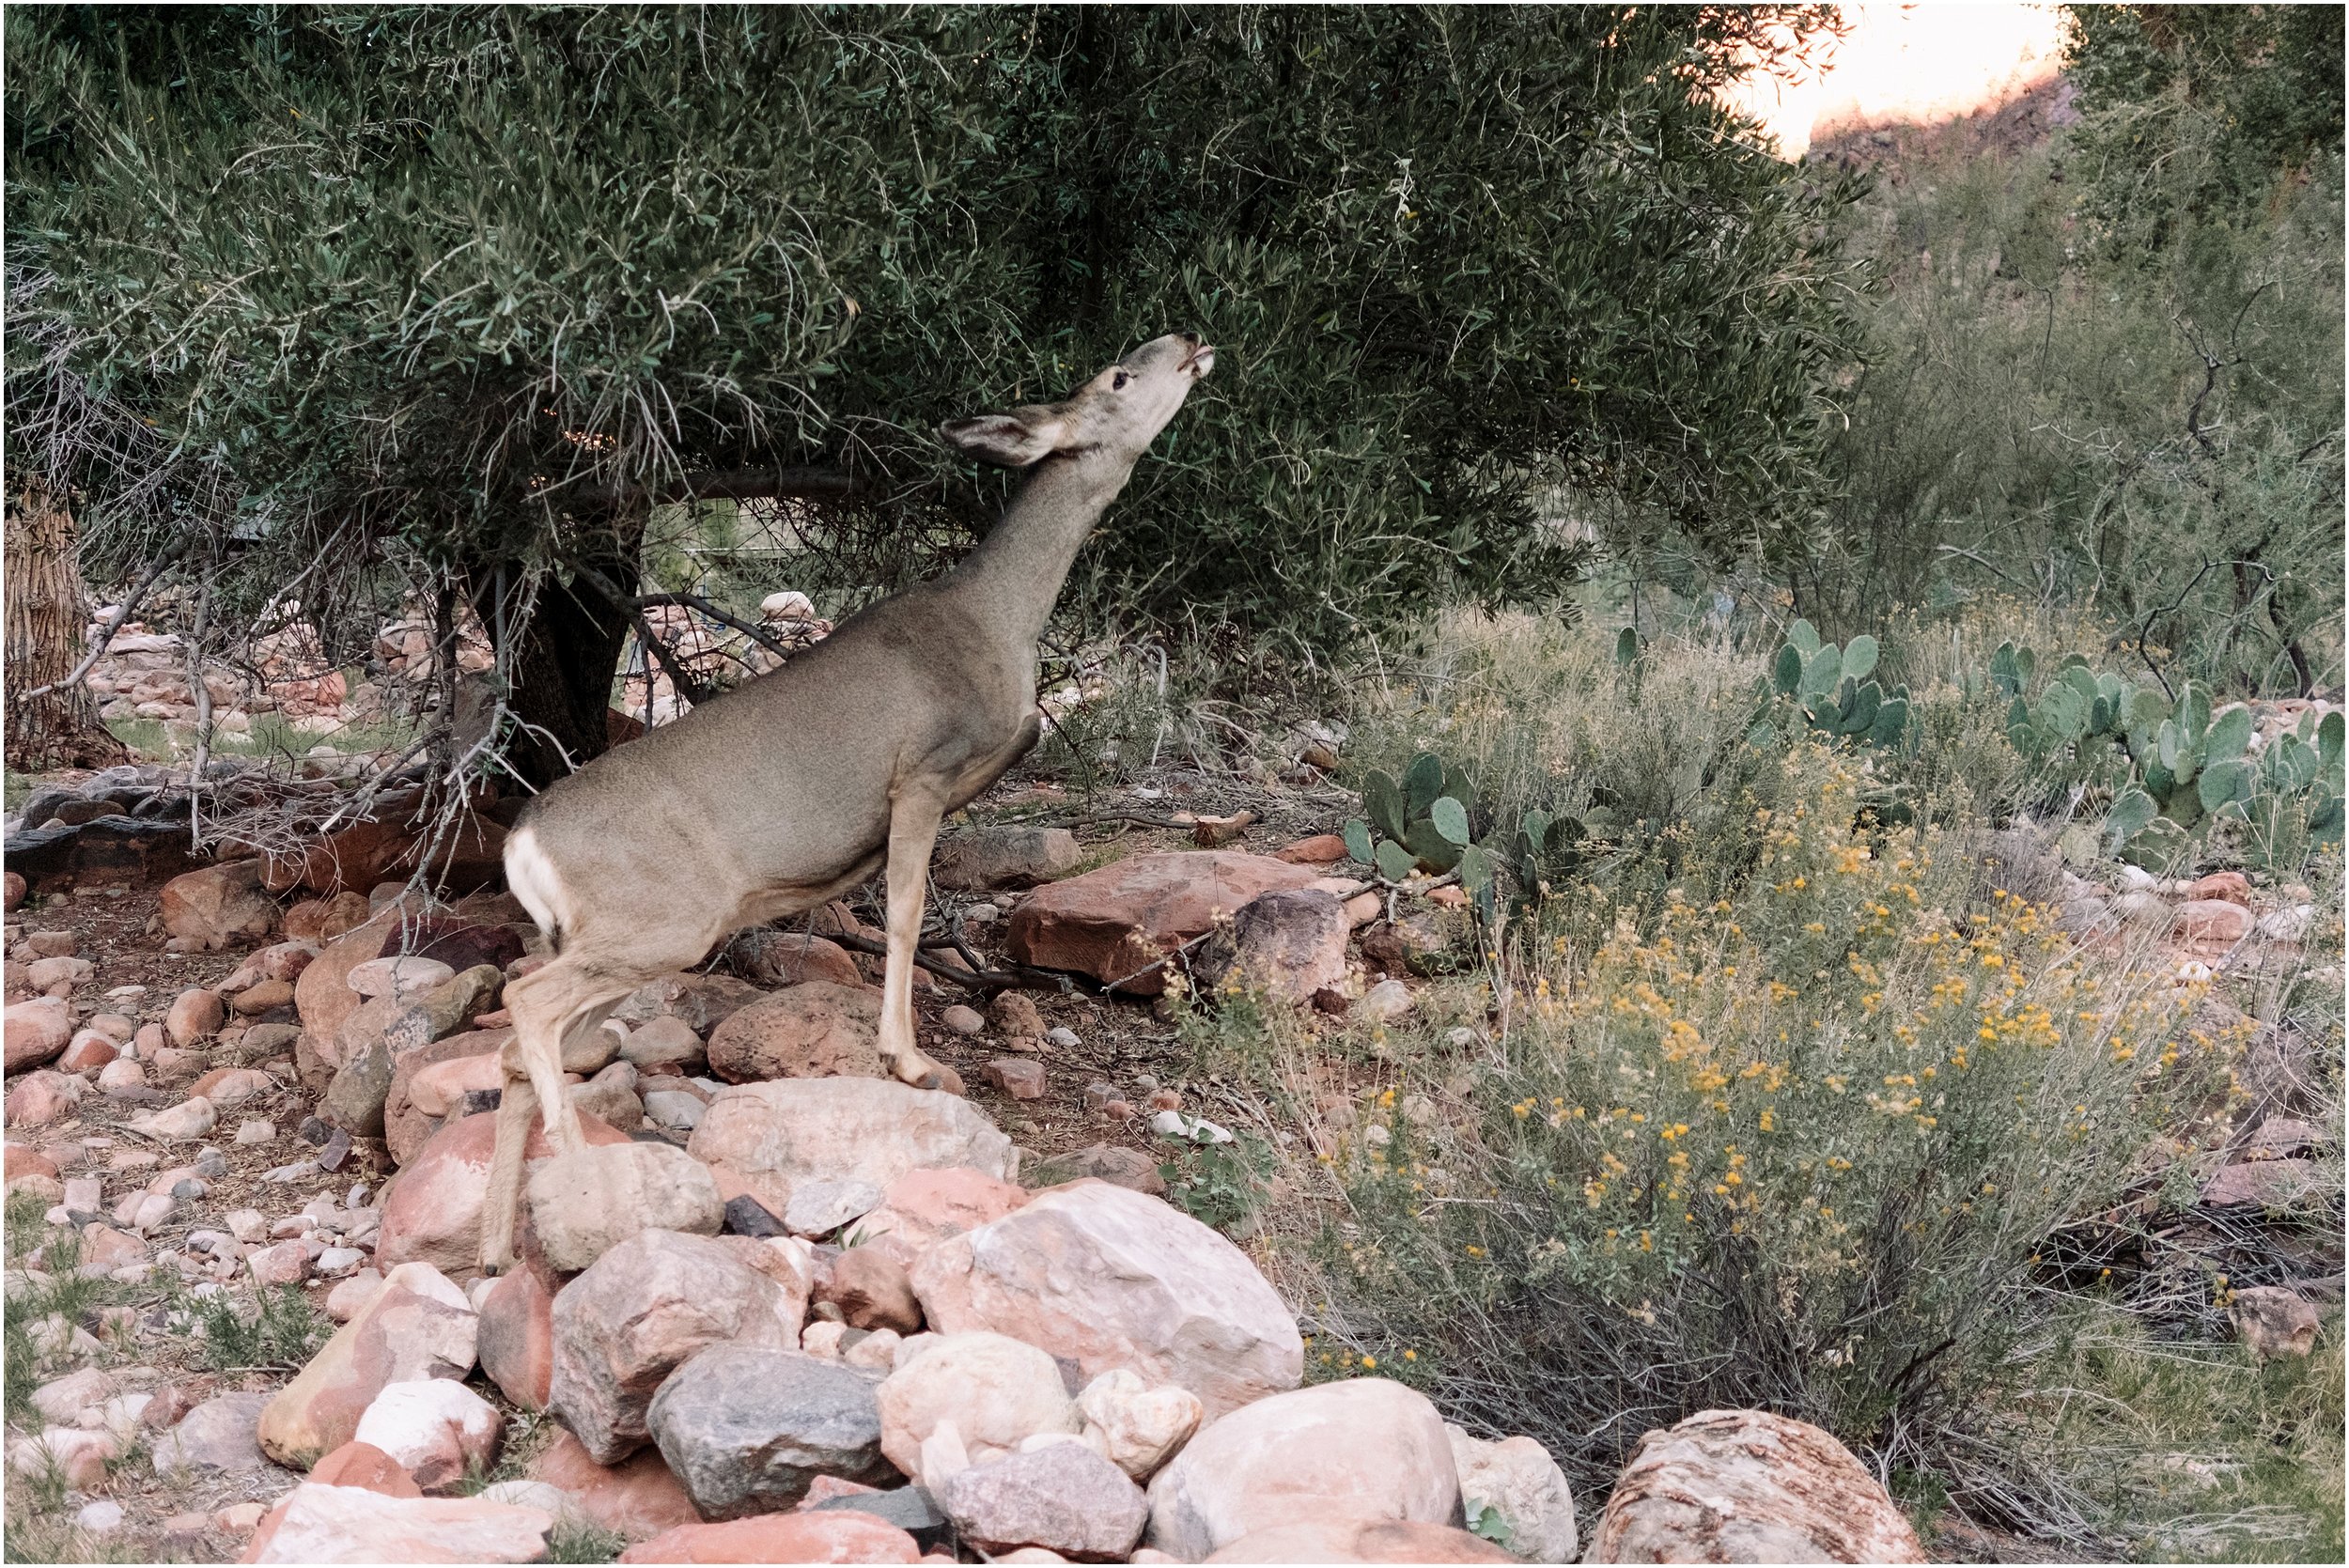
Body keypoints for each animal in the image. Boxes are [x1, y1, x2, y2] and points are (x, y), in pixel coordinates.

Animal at [474, 331, 1212, 1277]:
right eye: (1119, 375)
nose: (1187, 342)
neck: (999, 618)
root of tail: (522, 843)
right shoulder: (923, 772)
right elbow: (904, 911)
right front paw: (910, 1060)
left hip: (603, 937)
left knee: (514, 1050)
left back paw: (498, 1249)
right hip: (662, 920)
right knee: (526, 1005)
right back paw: (581, 1183)